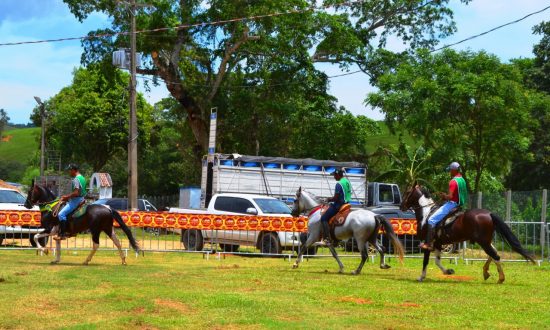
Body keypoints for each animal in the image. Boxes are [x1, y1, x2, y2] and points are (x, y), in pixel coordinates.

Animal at [402, 184, 536, 282]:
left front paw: (421, 277)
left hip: (483, 242)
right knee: (493, 254)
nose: (401, 205)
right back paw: (486, 272)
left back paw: (501, 278)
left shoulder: (427, 243)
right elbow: (437, 261)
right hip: (486, 241)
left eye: (407, 192)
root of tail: (489, 214)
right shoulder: (438, 244)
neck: (426, 214)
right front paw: (448, 271)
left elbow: (426, 261)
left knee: (495, 256)